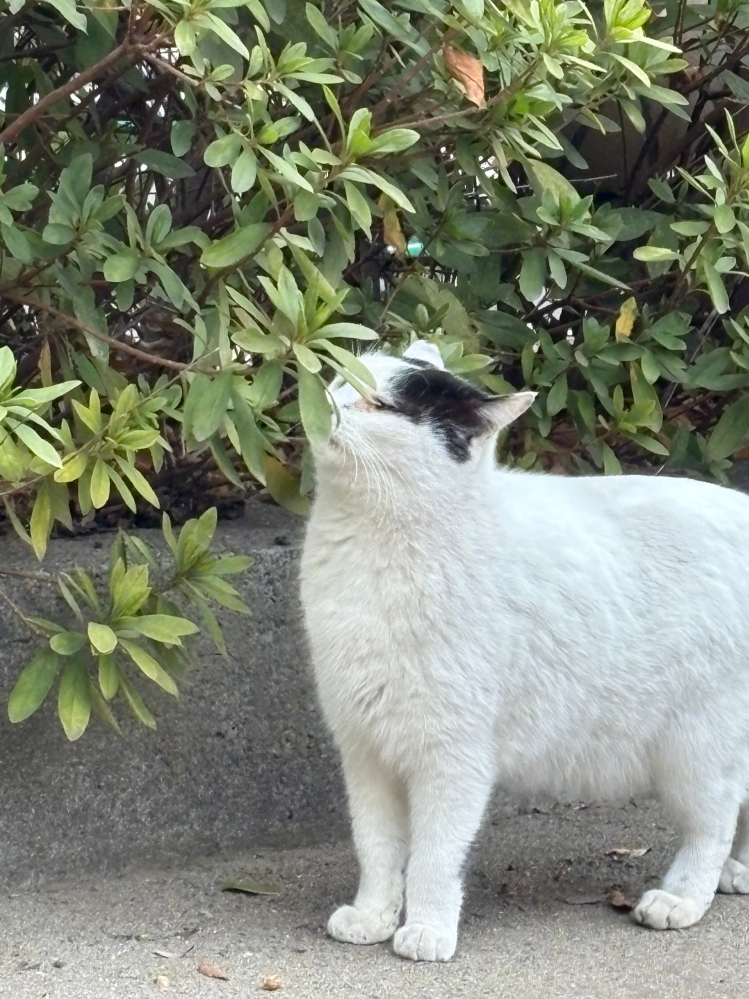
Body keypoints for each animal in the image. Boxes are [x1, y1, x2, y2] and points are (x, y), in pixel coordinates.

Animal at [300, 342, 748, 960]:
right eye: (339, 378)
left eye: (379, 404)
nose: (326, 400)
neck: (369, 551)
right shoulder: (365, 751)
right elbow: (376, 848)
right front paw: (372, 917)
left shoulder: (453, 757)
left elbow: (435, 855)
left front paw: (428, 929)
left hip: (696, 747)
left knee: (715, 821)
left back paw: (680, 899)